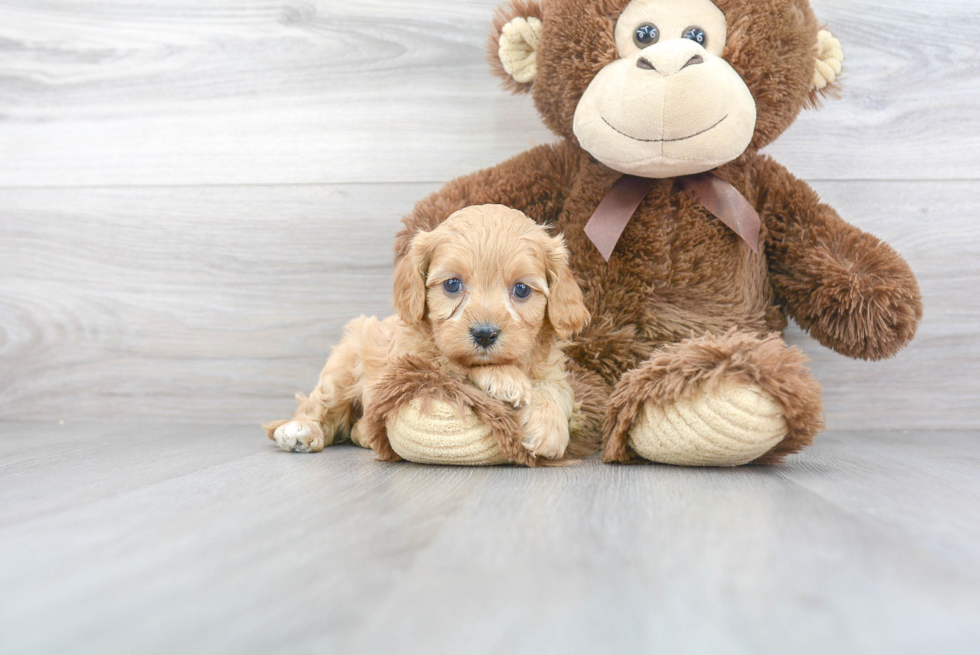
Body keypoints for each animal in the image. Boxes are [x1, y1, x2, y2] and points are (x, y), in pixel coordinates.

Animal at [264, 204, 588, 462]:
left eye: (521, 289)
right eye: (452, 284)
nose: (484, 334)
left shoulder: (554, 371)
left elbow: (557, 391)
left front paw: (548, 428)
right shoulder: (409, 361)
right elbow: (452, 362)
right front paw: (504, 378)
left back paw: (364, 433)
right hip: (343, 366)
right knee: (319, 404)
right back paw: (300, 430)